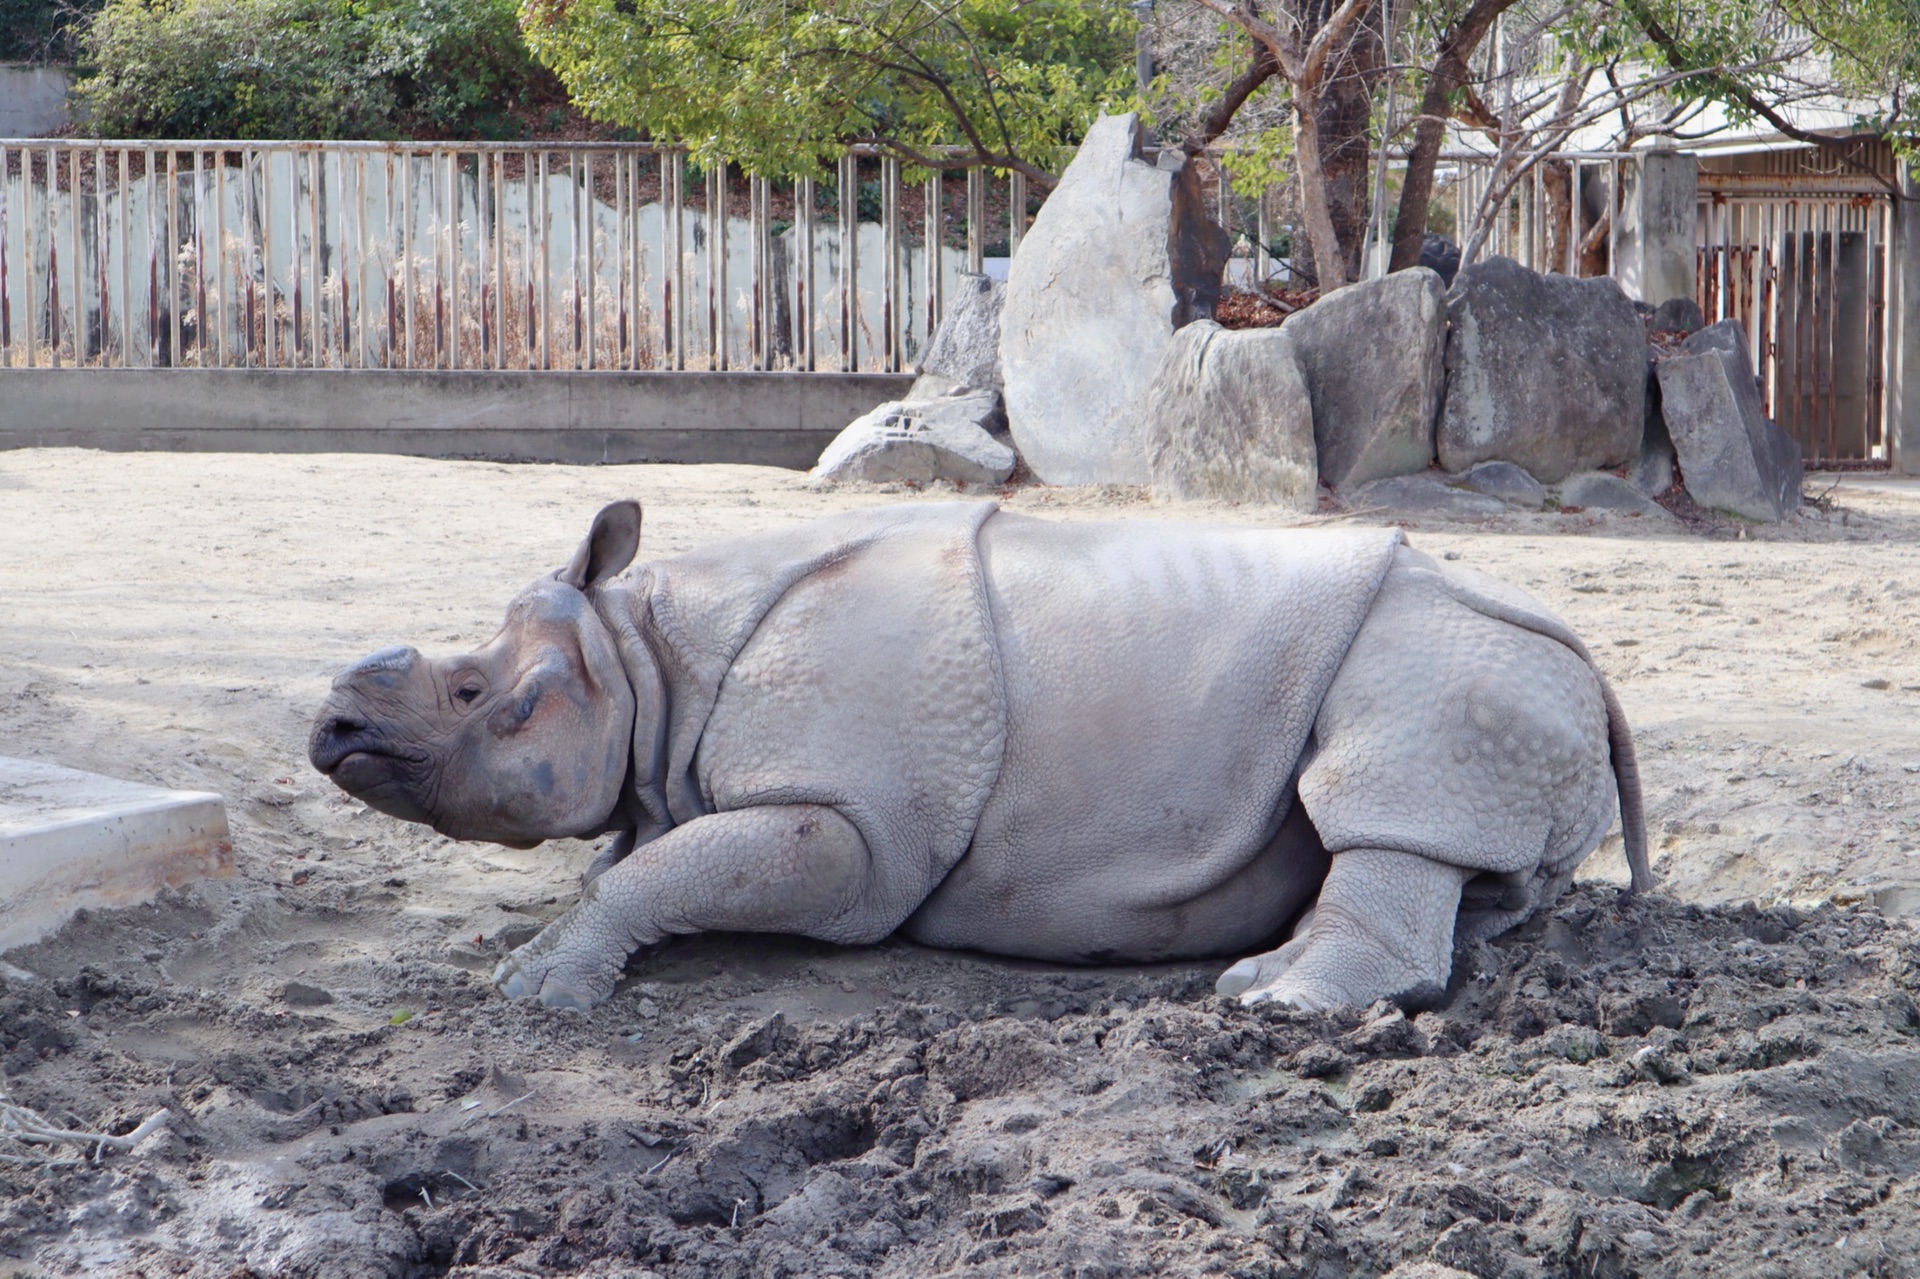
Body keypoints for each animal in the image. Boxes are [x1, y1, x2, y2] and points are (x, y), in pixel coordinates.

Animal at [307, 499, 1643, 1006]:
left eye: (474, 691)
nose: (330, 733)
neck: (646, 659)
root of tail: (1599, 669)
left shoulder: (853, 824)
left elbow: (662, 871)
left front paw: (538, 990)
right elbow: (631, 860)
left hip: (1452, 654)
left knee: (1393, 788)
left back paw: (1275, 1001)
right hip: (1501, 668)